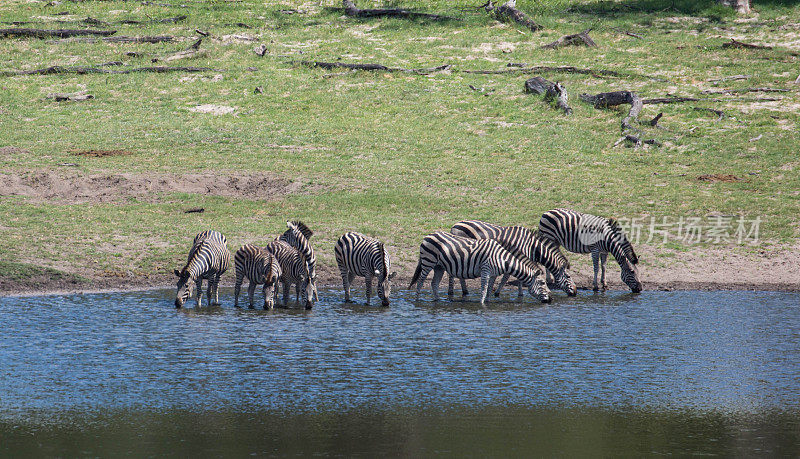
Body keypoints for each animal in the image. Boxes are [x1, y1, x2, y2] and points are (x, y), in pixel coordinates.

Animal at [406, 234, 552, 306]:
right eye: (542, 283)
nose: (550, 300)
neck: (502, 258)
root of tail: (428, 235)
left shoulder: (493, 274)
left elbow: (490, 288)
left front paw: (488, 302)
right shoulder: (485, 270)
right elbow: (484, 289)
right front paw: (481, 304)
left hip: (439, 267)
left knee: (434, 283)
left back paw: (437, 301)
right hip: (428, 262)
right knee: (420, 282)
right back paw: (417, 300)